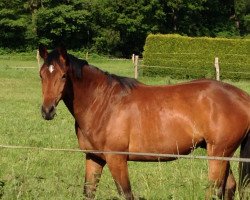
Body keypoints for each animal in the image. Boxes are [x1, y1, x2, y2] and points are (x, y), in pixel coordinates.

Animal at [39, 46, 250, 199]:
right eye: (41, 75)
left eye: (63, 75)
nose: (47, 111)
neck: (103, 103)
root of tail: (242, 97)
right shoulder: (94, 158)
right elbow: (88, 192)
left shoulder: (116, 159)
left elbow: (126, 194)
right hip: (221, 154)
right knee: (229, 187)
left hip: (218, 154)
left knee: (214, 190)